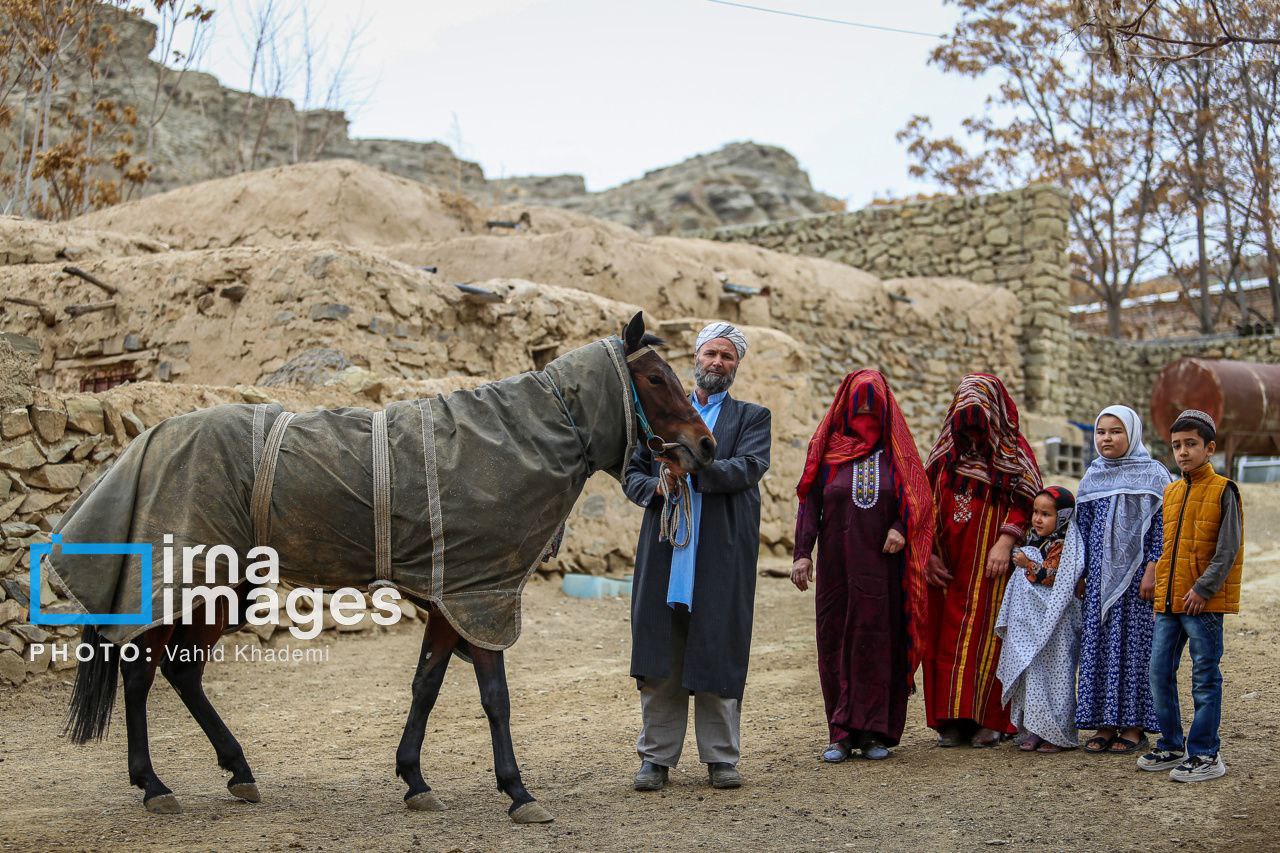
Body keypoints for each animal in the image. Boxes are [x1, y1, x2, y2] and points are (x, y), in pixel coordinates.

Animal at [57, 311, 711, 819]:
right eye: (656, 377)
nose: (703, 446)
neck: (510, 441)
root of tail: (144, 443)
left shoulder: (451, 602)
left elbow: (426, 685)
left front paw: (415, 779)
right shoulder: (480, 596)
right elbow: (494, 697)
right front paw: (518, 791)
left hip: (218, 590)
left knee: (181, 671)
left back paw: (237, 770)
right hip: (175, 585)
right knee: (141, 674)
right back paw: (153, 785)